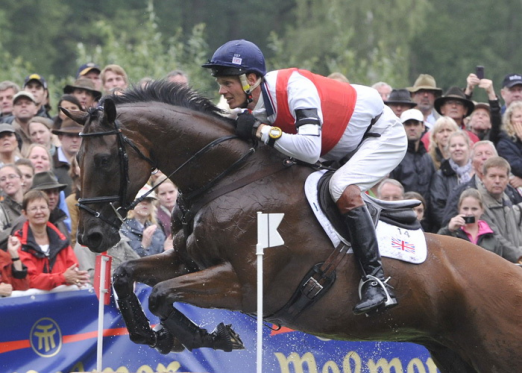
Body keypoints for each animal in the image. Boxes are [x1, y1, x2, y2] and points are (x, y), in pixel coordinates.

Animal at [67, 80, 520, 370]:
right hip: (456, 353)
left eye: (103, 159)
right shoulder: (188, 262)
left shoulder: (245, 285)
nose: (91, 235)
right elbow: (126, 275)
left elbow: (161, 295)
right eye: (74, 159)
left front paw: (212, 338)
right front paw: (156, 336)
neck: (229, 179)